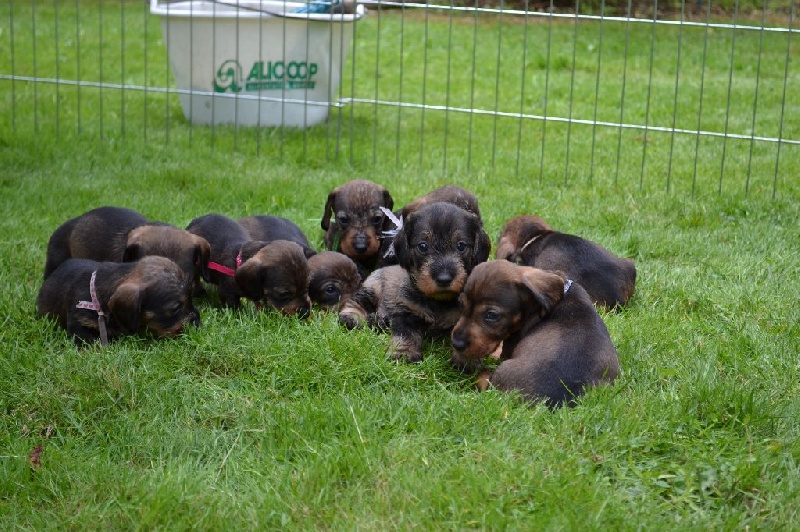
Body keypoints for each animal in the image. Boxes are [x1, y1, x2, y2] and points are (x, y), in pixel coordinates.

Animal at [340, 202, 490, 364]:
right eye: (423, 246)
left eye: (461, 245)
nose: (444, 279)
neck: (438, 301)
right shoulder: (407, 311)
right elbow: (406, 333)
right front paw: (404, 352)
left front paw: (468, 358)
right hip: (372, 289)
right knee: (356, 301)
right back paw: (351, 317)